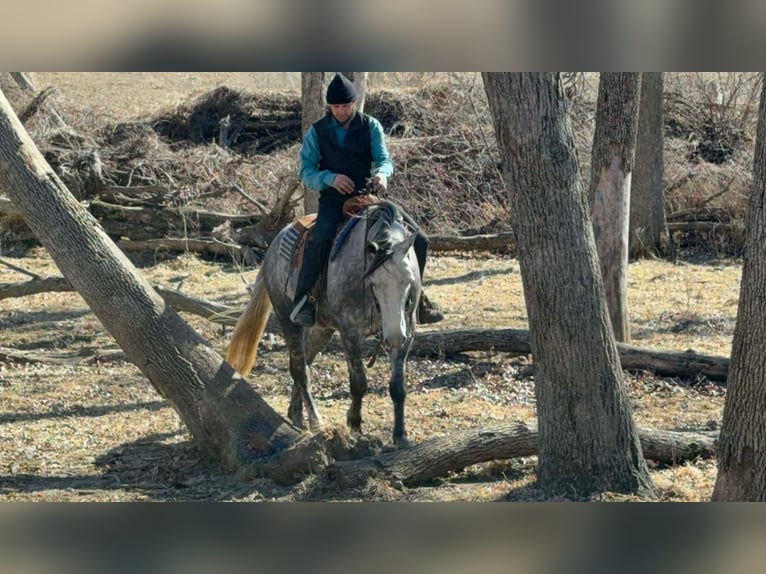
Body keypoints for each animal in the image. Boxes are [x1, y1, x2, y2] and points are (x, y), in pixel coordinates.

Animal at [226, 200, 421, 447]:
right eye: (373, 282)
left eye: (408, 280)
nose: (394, 336)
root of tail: (271, 250)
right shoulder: (350, 333)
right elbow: (359, 382)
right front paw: (355, 426)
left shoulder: (408, 331)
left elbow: (398, 386)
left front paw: (400, 435)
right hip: (287, 318)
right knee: (299, 369)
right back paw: (316, 421)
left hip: (322, 329)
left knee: (305, 364)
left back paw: (296, 414)